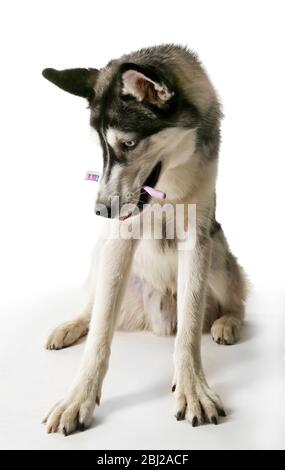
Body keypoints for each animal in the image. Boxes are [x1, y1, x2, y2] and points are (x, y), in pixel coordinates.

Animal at [41, 46, 246, 436]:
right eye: (101, 150)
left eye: (129, 144)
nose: (100, 210)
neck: (166, 190)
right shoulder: (120, 239)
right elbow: (101, 331)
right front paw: (79, 397)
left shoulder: (196, 238)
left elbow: (190, 328)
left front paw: (192, 388)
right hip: (101, 253)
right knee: (95, 305)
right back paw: (72, 324)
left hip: (217, 254)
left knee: (235, 299)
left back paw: (228, 321)